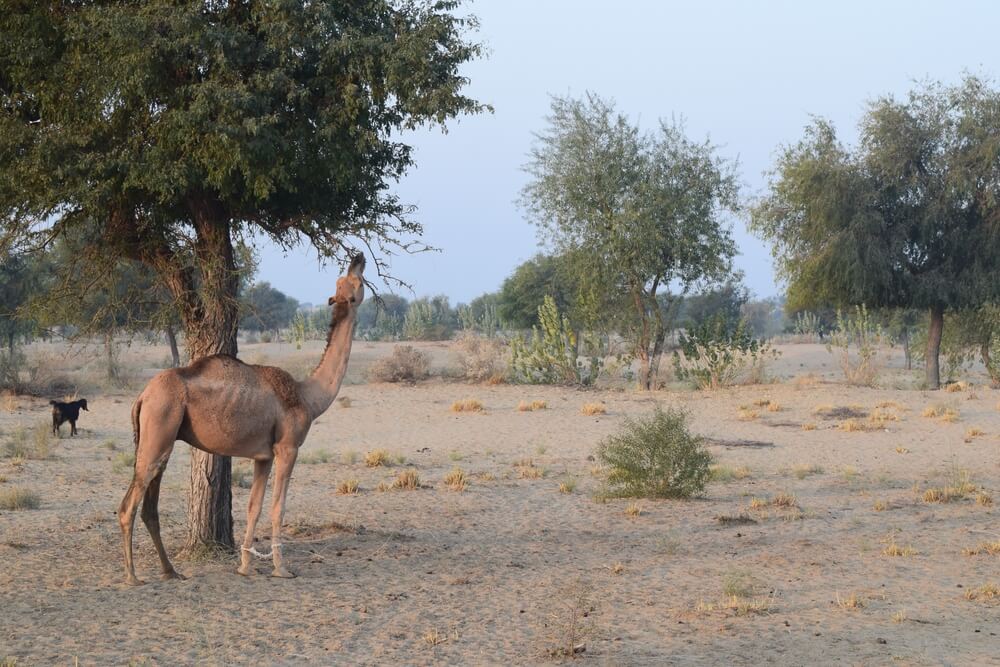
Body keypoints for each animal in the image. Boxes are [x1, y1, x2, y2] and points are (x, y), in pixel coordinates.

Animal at [118, 254, 368, 584]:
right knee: (128, 506)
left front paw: (245, 565)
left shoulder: (264, 456)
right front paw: (281, 569)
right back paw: (132, 576)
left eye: (346, 281)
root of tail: (143, 396)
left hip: (159, 440)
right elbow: (278, 507)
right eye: (355, 283)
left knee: (149, 507)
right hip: (159, 428)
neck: (308, 396)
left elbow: (253, 506)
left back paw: (171, 571)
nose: (358, 258)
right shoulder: (288, 447)